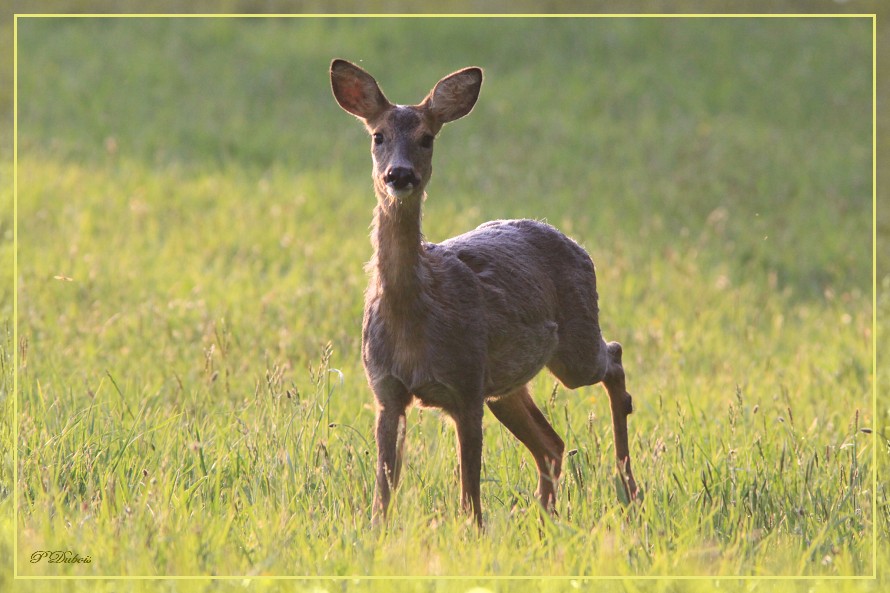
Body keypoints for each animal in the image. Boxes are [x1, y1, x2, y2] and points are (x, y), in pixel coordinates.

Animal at [330, 57, 636, 524]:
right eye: (377, 136)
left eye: (427, 138)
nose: (399, 175)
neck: (416, 314)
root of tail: (575, 243)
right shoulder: (386, 389)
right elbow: (384, 489)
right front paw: (375, 529)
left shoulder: (466, 384)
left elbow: (469, 493)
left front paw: (472, 531)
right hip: (505, 385)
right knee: (552, 444)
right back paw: (545, 516)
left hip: (573, 348)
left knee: (614, 357)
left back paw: (628, 488)